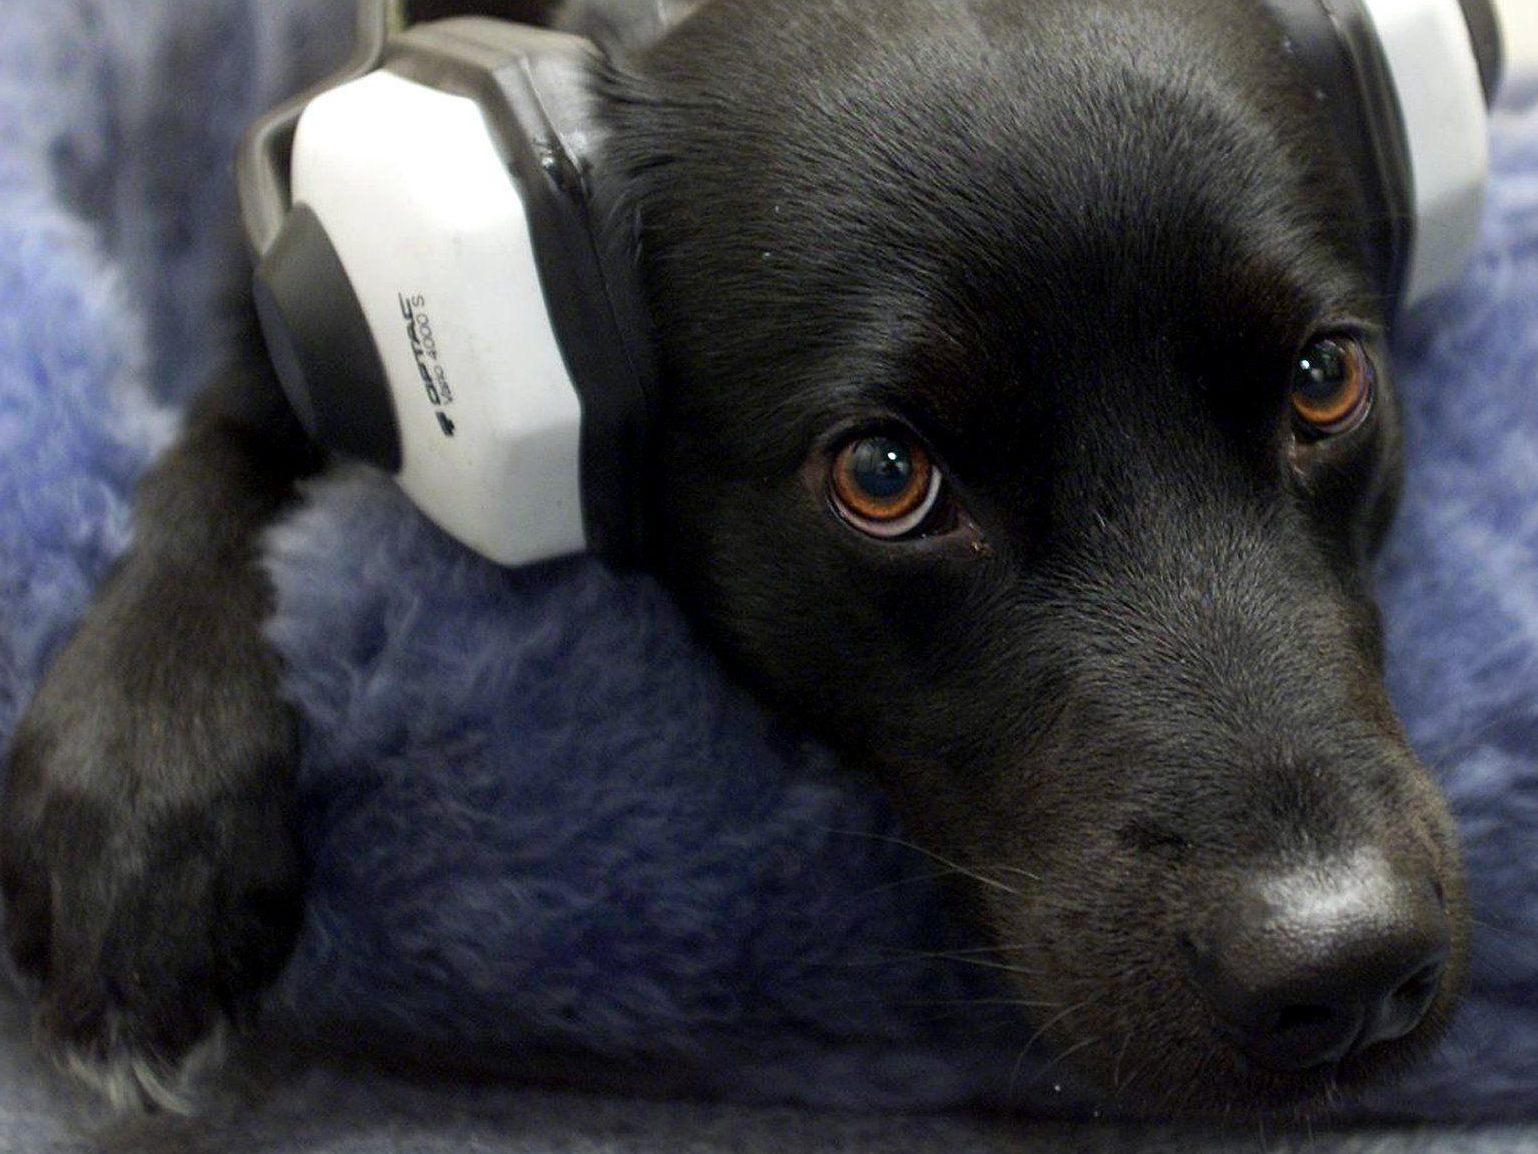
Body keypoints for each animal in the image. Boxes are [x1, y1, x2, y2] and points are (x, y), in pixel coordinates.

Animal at [0, 0, 1464, 1126]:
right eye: (883, 474)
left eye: (1323, 379)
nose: (1341, 969)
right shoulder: (275, 307)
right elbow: (219, 444)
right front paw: (138, 792)